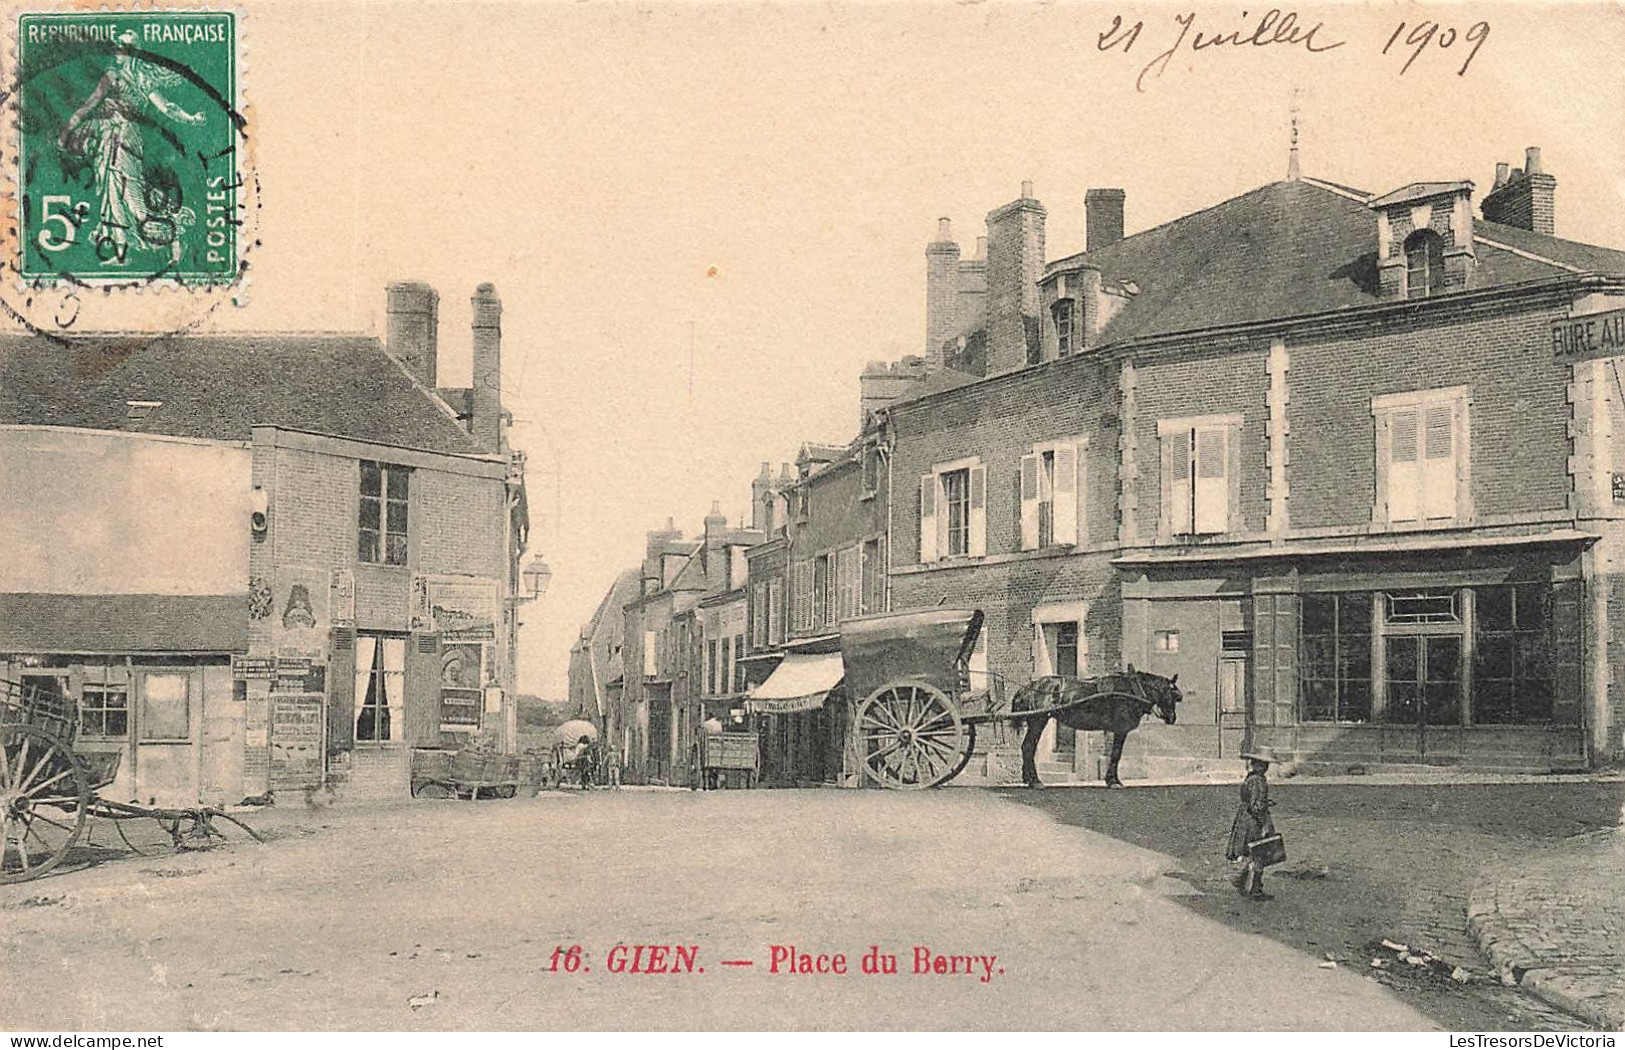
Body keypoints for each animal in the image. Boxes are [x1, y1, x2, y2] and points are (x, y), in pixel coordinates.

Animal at [1001, 666, 1183, 789]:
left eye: (1176, 697)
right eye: (1171, 694)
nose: (1172, 718)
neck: (1131, 690)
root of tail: (1028, 686)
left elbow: (1115, 754)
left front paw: (1112, 780)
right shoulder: (1120, 730)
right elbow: (1116, 754)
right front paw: (1113, 781)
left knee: (1027, 747)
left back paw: (1029, 779)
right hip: (1038, 721)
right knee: (1028, 747)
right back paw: (1035, 781)